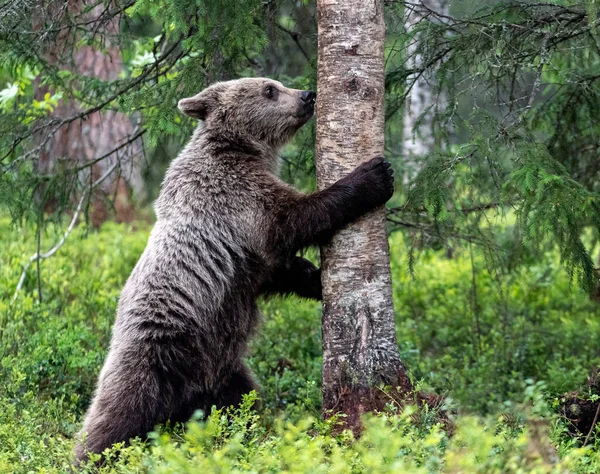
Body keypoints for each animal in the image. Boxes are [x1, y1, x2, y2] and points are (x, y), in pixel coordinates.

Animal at [74, 78, 394, 462]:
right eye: (270, 89)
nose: (308, 95)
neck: (244, 150)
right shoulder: (235, 195)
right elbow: (294, 218)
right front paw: (375, 176)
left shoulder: (247, 257)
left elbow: (277, 270)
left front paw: (316, 280)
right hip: (154, 355)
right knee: (116, 413)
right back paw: (87, 456)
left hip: (223, 367)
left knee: (243, 402)